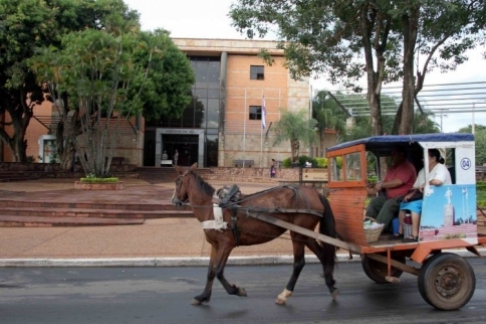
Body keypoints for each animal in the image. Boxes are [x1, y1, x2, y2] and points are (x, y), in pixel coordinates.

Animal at [171, 163, 338, 306]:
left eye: (177, 181)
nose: (173, 200)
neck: (212, 208)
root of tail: (315, 194)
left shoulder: (226, 245)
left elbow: (218, 271)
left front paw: (236, 290)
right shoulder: (215, 245)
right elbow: (210, 272)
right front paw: (203, 296)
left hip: (297, 233)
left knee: (299, 263)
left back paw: (285, 294)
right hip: (305, 233)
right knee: (323, 256)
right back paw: (331, 285)